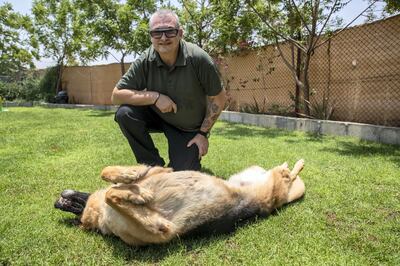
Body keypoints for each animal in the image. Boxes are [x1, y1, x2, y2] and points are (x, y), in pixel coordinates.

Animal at [54, 159, 304, 246]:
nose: (56, 202)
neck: (100, 216)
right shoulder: (161, 230)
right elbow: (111, 194)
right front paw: (138, 195)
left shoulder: (161, 169)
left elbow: (108, 175)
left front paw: (130, 177)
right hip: (272, 181)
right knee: (287, 175)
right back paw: (294, 166)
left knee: (288, 173)